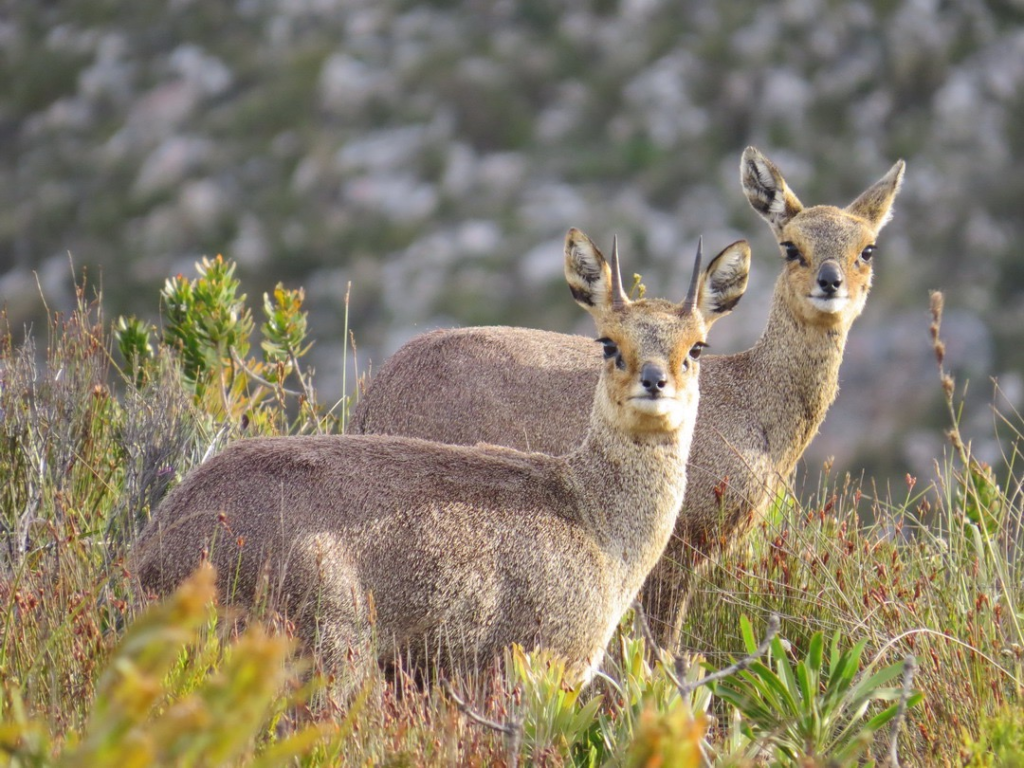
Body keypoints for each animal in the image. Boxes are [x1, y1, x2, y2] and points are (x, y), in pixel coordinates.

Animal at [136, 228, 745, 684]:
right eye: (608, 342)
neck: (594, 518)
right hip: (329, 649)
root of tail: (154, 546)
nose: (654, 381)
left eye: (697, 346)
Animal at [352, 145, 905, 651]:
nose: (830, 283)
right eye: (791, 246)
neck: (754, 408)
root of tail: (371, 399)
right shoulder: (674, 552)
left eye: (868, 248)